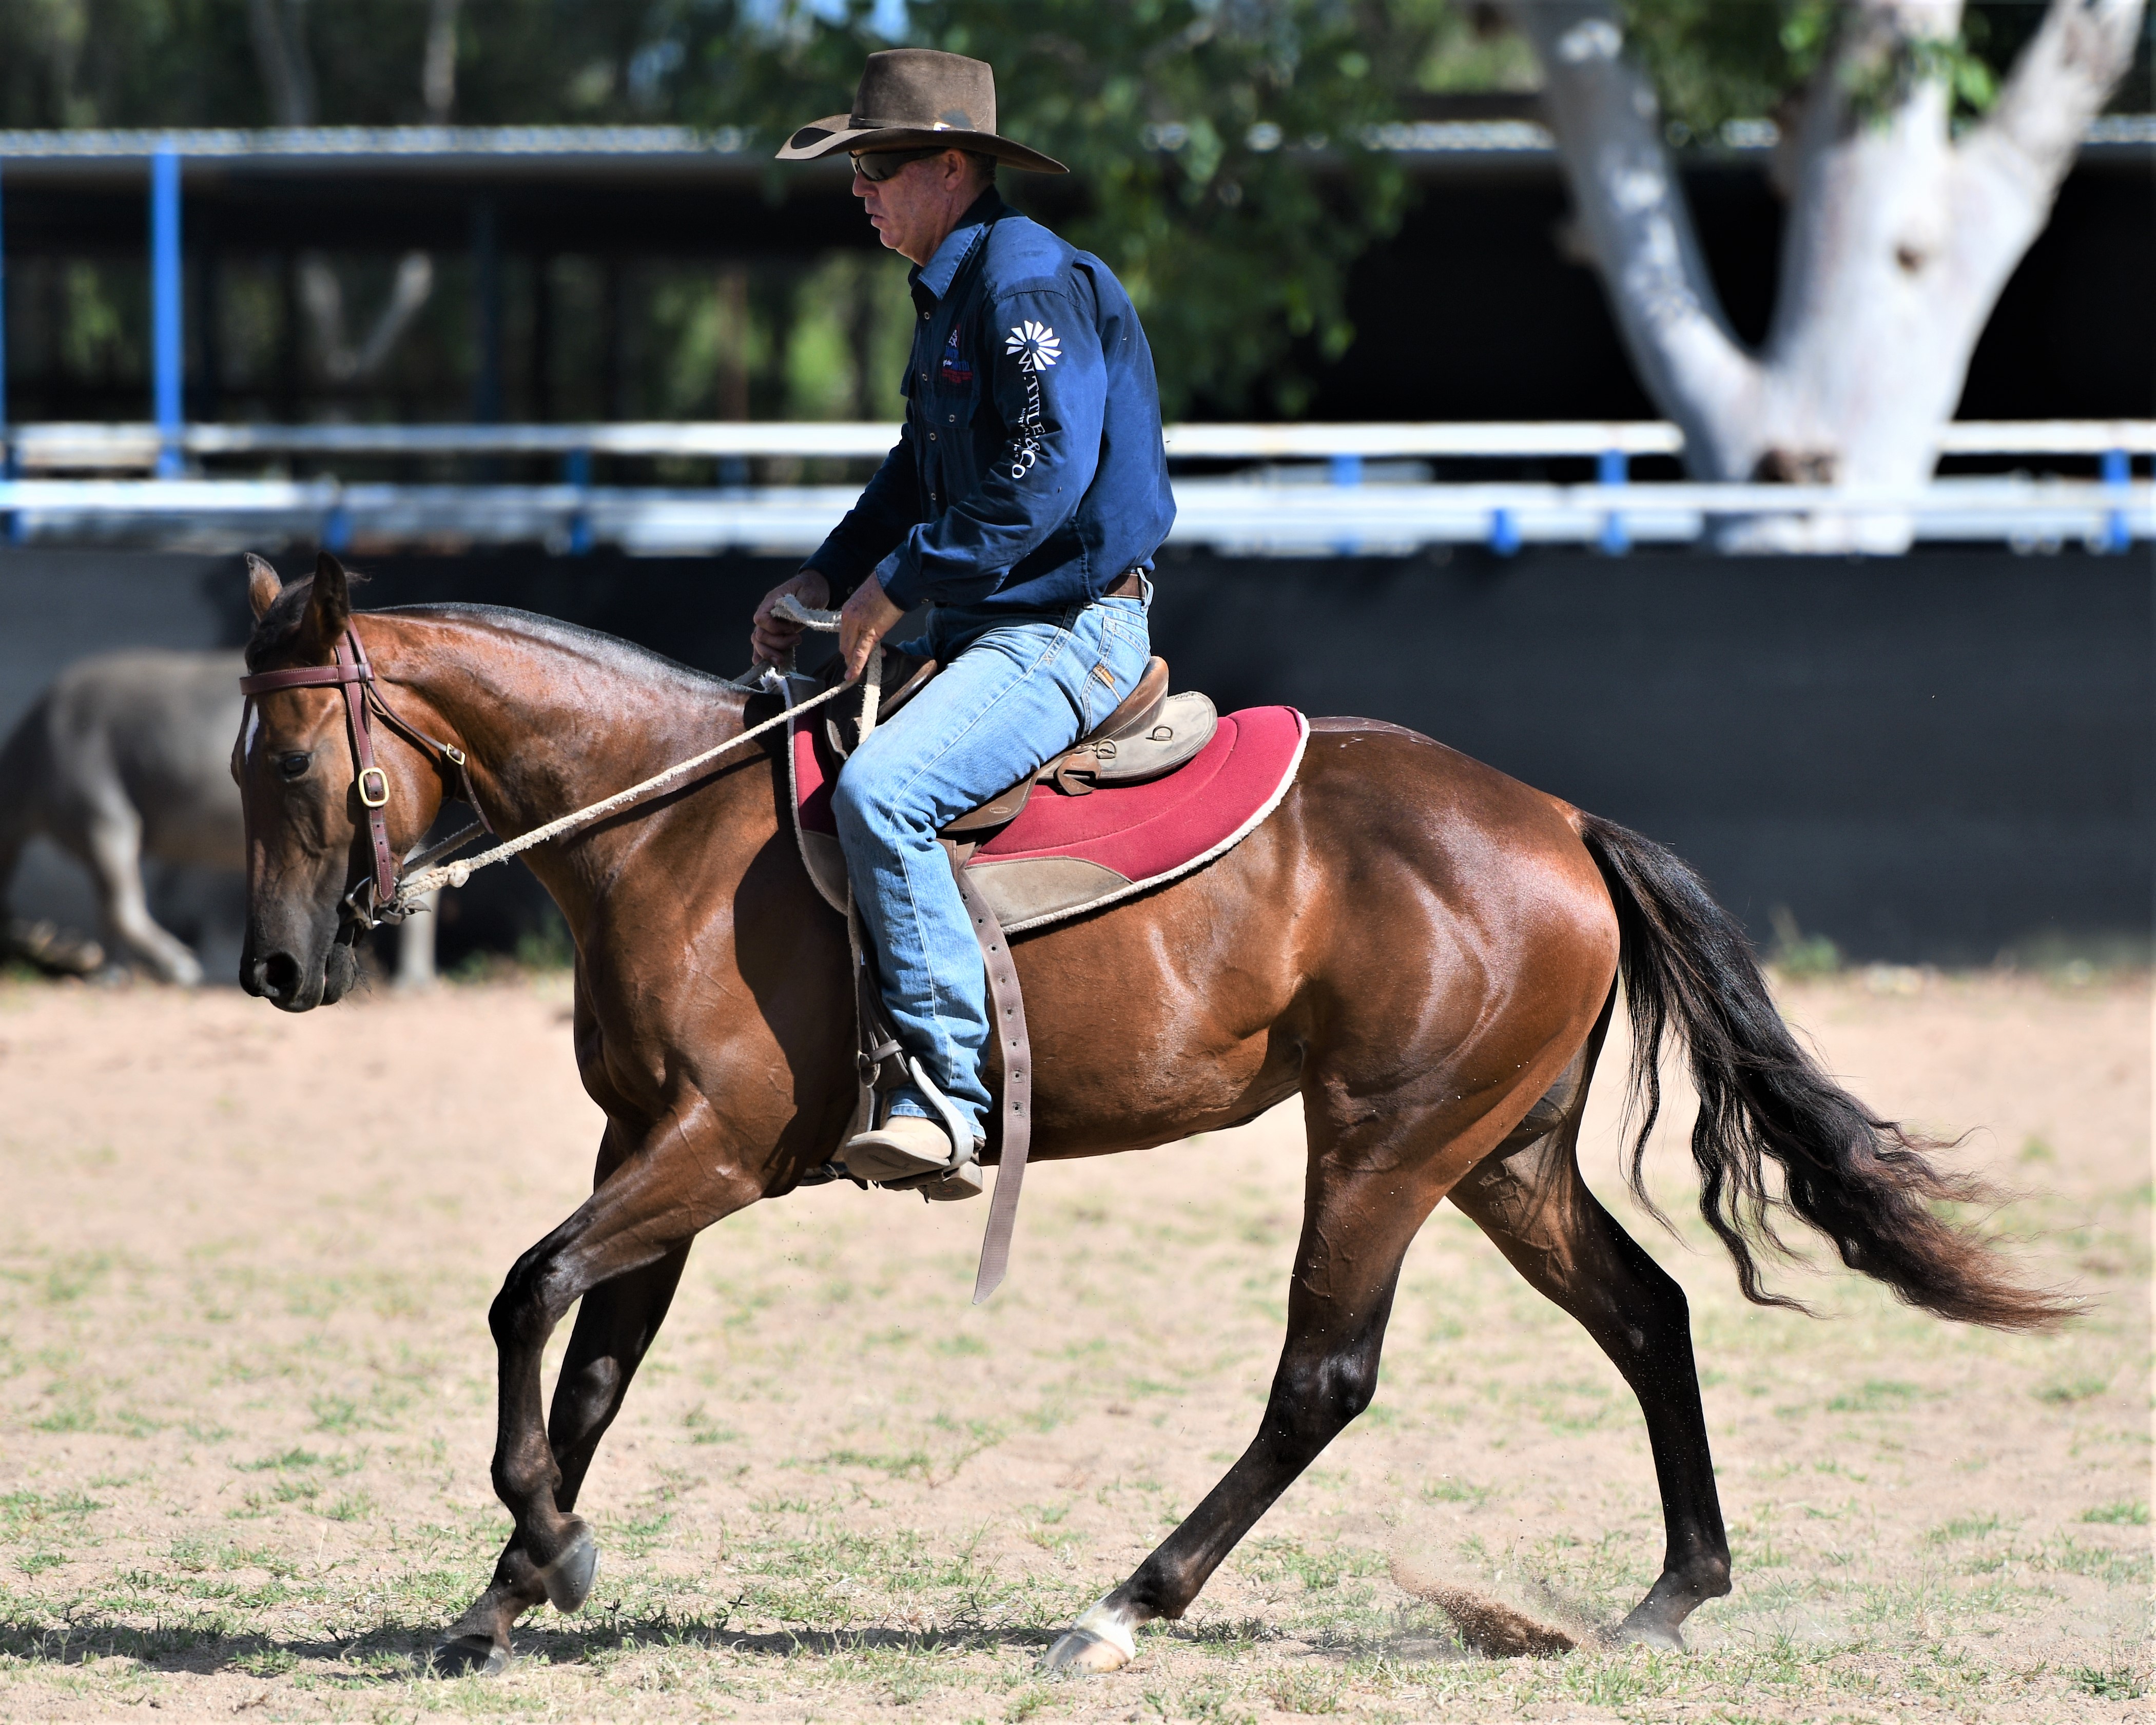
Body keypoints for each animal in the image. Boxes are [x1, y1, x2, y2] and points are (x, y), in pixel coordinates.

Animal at [233, 552, 2066, 1675]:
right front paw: (505, 1592)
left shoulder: (717, 1154)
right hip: (1502, 1157)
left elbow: (526, 1293)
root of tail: (1553, 817)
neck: (671, 837)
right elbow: (596, 1364)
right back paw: (1672, 1593)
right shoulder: (651, 1155)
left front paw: (549, 1553)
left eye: (291, 763)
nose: (272, 967)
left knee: (1323, 1378)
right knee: (1648, 1313)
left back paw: (1124, 1604)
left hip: (1382, 1144)